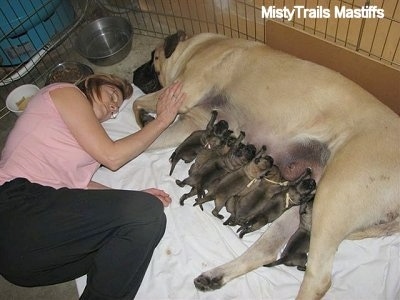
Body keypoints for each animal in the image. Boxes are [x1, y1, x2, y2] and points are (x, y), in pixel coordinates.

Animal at [132, 30, 400, 298]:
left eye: (152, 57)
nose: (134, 74)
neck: (198, 47)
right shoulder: (191, 122)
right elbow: (141, 140)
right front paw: (145, 126)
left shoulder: (183, 92)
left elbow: (139, 102)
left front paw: (143, 118)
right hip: (304, 204)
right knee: (266, 250)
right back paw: (215, 276)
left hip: (332, 201)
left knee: (319, 278)